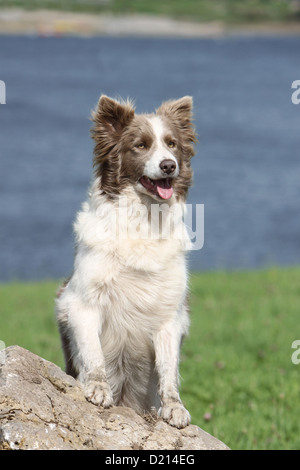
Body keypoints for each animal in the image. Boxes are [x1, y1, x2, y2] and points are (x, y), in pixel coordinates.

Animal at [55, 93, 197, 428]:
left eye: (172, 143)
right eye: (141, 145)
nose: (169, 166)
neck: (144, 219)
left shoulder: (169, 316)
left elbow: (169, 370)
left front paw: (174, 407)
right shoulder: (80, 302)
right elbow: (93, 353)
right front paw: (97, 387)